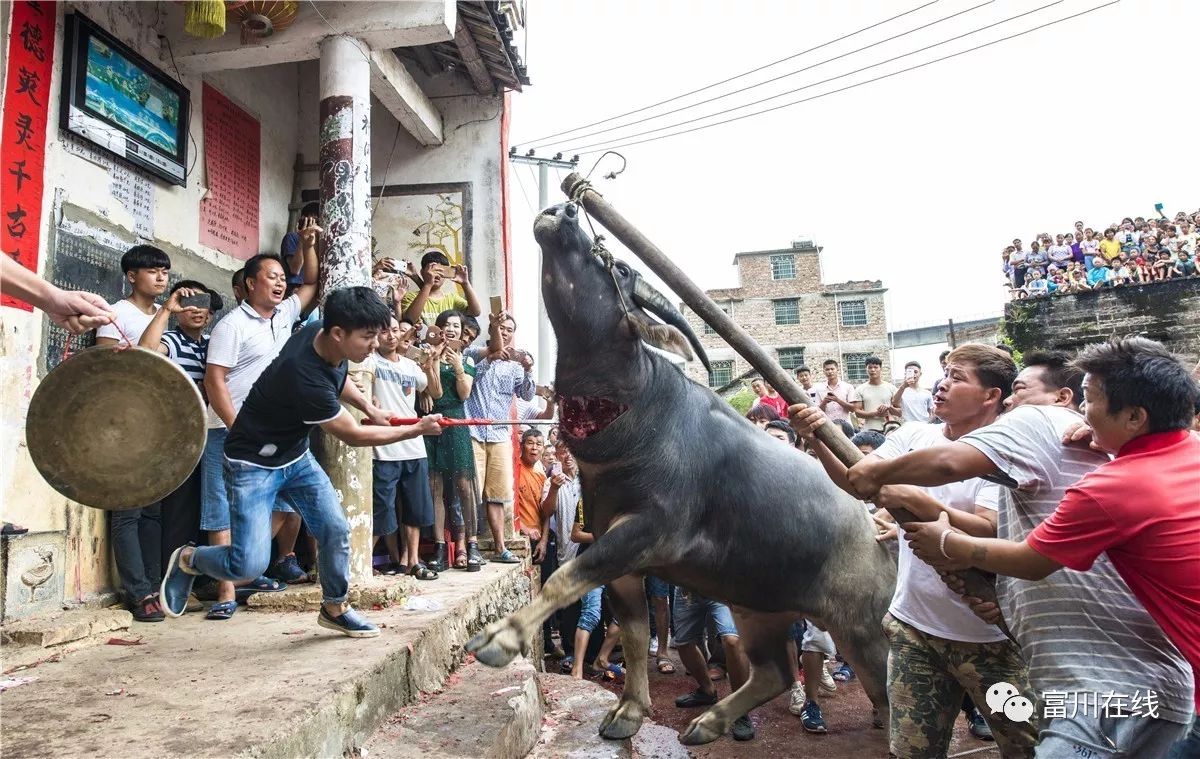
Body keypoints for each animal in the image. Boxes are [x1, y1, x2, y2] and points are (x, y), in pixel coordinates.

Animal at [463, 202, 897, 749]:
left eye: (623, 268)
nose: (564, 211)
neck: (632, 412)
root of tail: (880, 535)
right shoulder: (618, 555)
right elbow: (631, 634)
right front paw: (629, 710)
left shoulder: (651, 532)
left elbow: (562, 578)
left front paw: (501, 639)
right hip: (757, 603)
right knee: (775, 671)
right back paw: (709, 722)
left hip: (863, 631)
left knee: (892, 693)